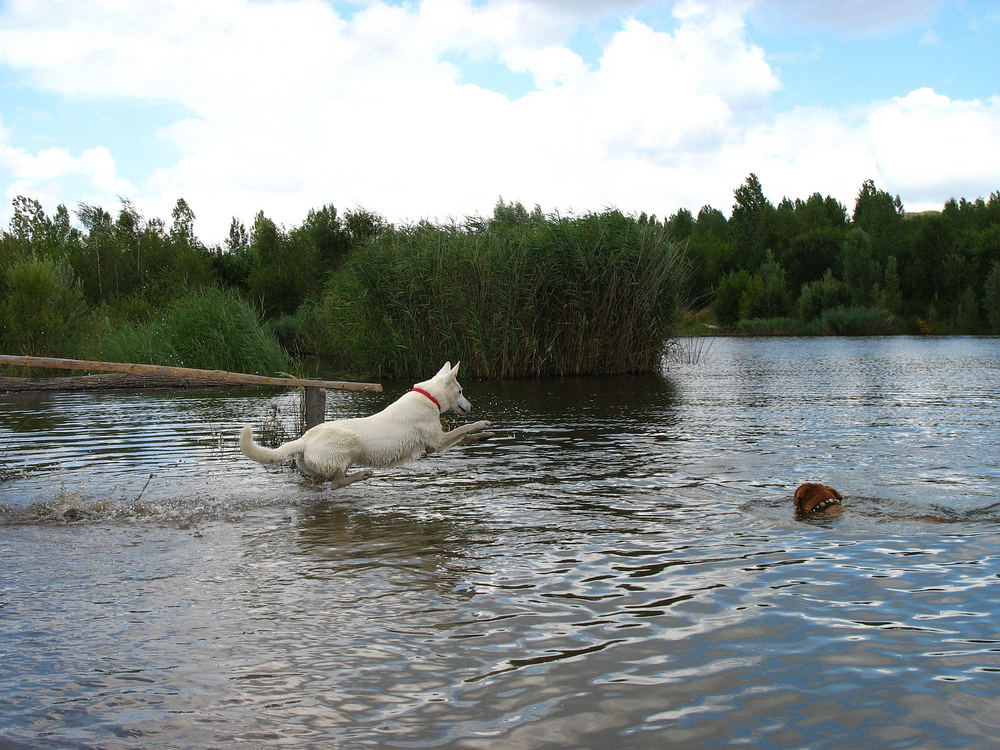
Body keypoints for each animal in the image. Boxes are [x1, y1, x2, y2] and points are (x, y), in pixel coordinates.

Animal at [242, 362, 492, 490]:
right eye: (460, 391)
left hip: (315, 466)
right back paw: (363, 474)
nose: (470, 406)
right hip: (350, 443)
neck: (429, 397)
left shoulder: (434, 445)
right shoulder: (437, 441)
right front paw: (482, 423)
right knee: (335, 484)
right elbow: (463, 430)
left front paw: (483, 436)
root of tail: (304, 439)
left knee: (322, 481)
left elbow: (463, 437)